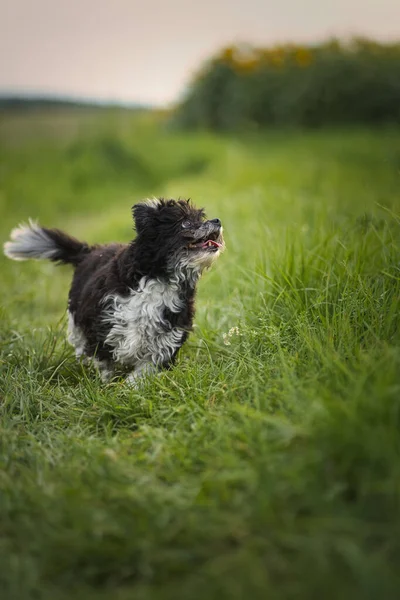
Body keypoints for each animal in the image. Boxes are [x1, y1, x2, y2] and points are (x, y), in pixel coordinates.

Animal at [4, 198, 225, 384]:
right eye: (185, 222)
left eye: (200, 218)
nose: (217, 220)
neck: (161, 280)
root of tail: (89, 252)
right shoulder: (102, 323)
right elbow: (105, 361)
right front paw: (106, 385)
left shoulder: (170, 330)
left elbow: (148, 366)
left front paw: (132, 388)